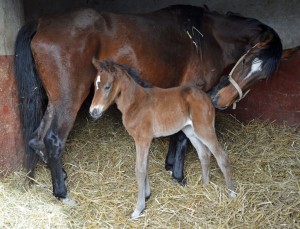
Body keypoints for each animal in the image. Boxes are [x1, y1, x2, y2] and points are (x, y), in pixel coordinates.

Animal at [90, 58, 236, 218]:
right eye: (95, 85)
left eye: (107, 86)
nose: (93, 112)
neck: (135, 102)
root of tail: (207, 97)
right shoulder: (146, 140)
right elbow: (145, 166)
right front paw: (147, 195)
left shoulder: (142, 139)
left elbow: (140, 169)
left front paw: (138, 209)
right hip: (191, 131)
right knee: (204, 154)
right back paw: (205, 185)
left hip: (204, 129)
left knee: (221, 156)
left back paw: (232, 193)